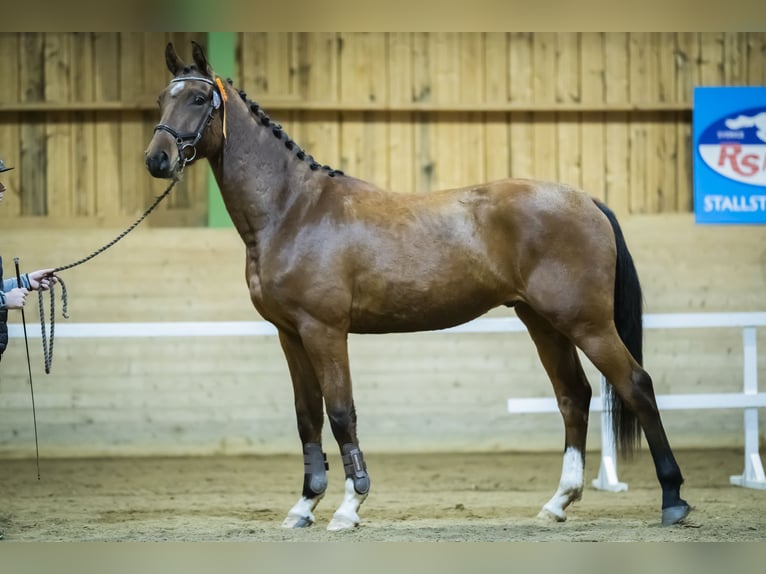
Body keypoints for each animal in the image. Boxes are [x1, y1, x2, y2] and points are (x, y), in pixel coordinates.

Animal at [142, 42, 688, 532]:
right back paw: (558, 503)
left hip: (586, 323)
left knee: (636, 385)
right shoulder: (290, 334)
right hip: (543, 321)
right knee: (574, 395)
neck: (292, 209)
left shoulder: (324, 331)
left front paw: (348, 508)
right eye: (161, 98)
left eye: (198, 99)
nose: (157, 159)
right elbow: (307, 416)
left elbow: (341, 413)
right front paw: (303, 507)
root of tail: (587, 199)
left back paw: (673, 499)